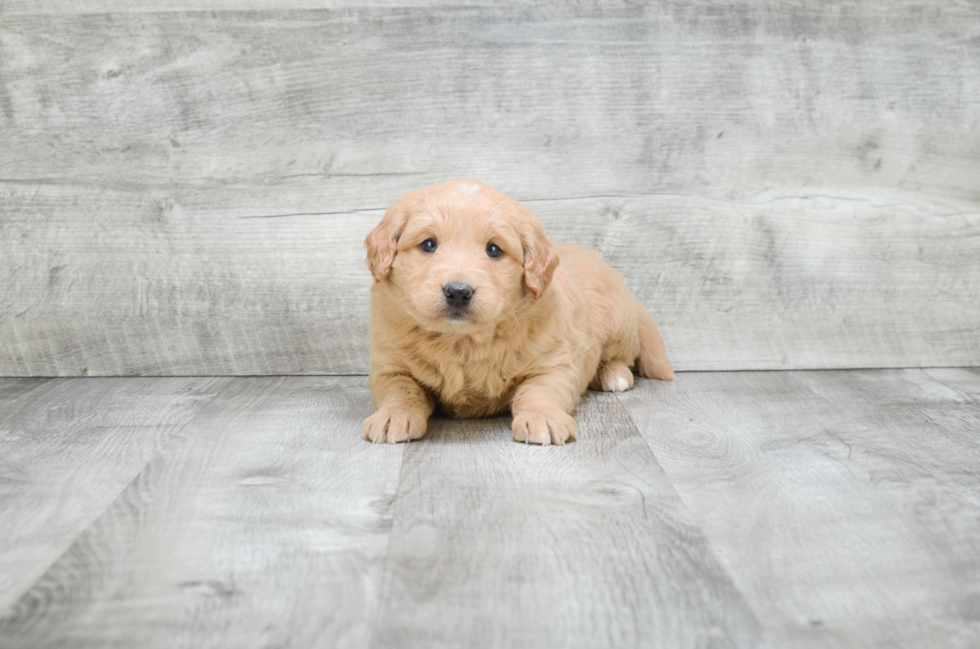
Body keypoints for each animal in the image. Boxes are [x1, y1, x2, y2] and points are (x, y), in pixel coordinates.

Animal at [360, 180, 672, 442]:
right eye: (428, 244)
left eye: (494, 250)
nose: (458, 292)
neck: (461, 342)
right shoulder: (390, 366)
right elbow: (402, 390)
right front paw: (393, 416)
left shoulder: (553, 363)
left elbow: (538, 391)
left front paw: (542, 418)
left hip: (619, 323)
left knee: (620, 356)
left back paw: (614, 376)